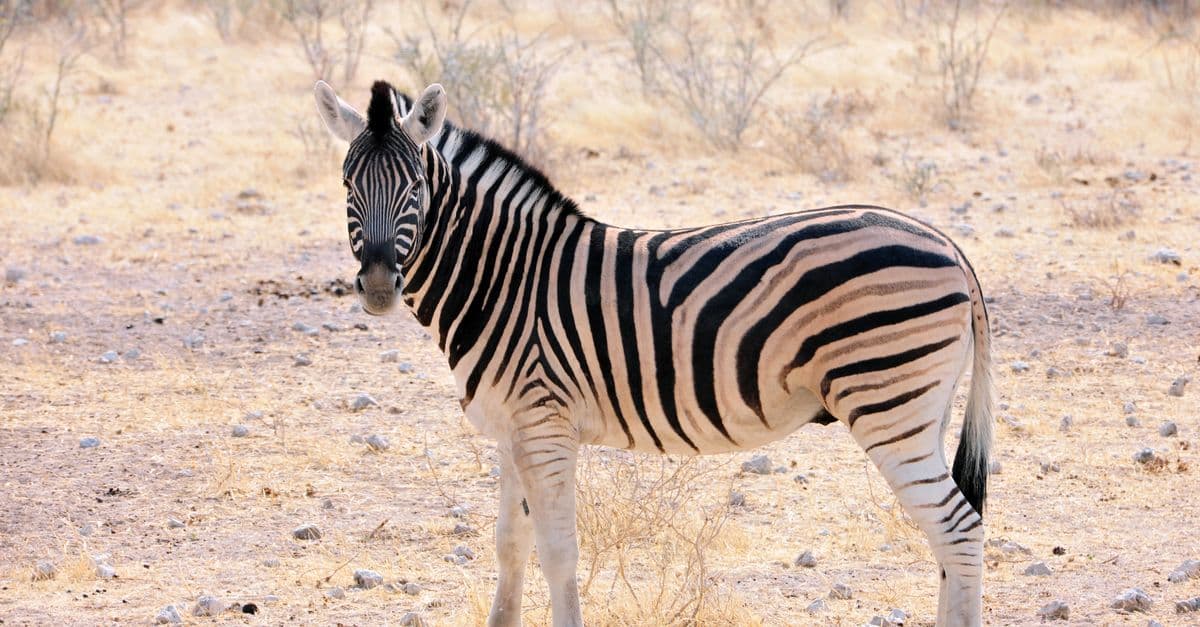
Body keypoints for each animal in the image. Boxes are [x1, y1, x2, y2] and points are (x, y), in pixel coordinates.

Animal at [313, 79, 994, 627]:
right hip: (921, 410)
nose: (379, 286)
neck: (504, 276)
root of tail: (946, 242)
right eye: (346, 184)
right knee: (947, 539)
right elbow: (510, 543)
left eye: (416, 186)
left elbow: (558, 550)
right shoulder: (513, 428)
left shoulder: (544, 424)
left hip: (887, 403)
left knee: (958, 532)